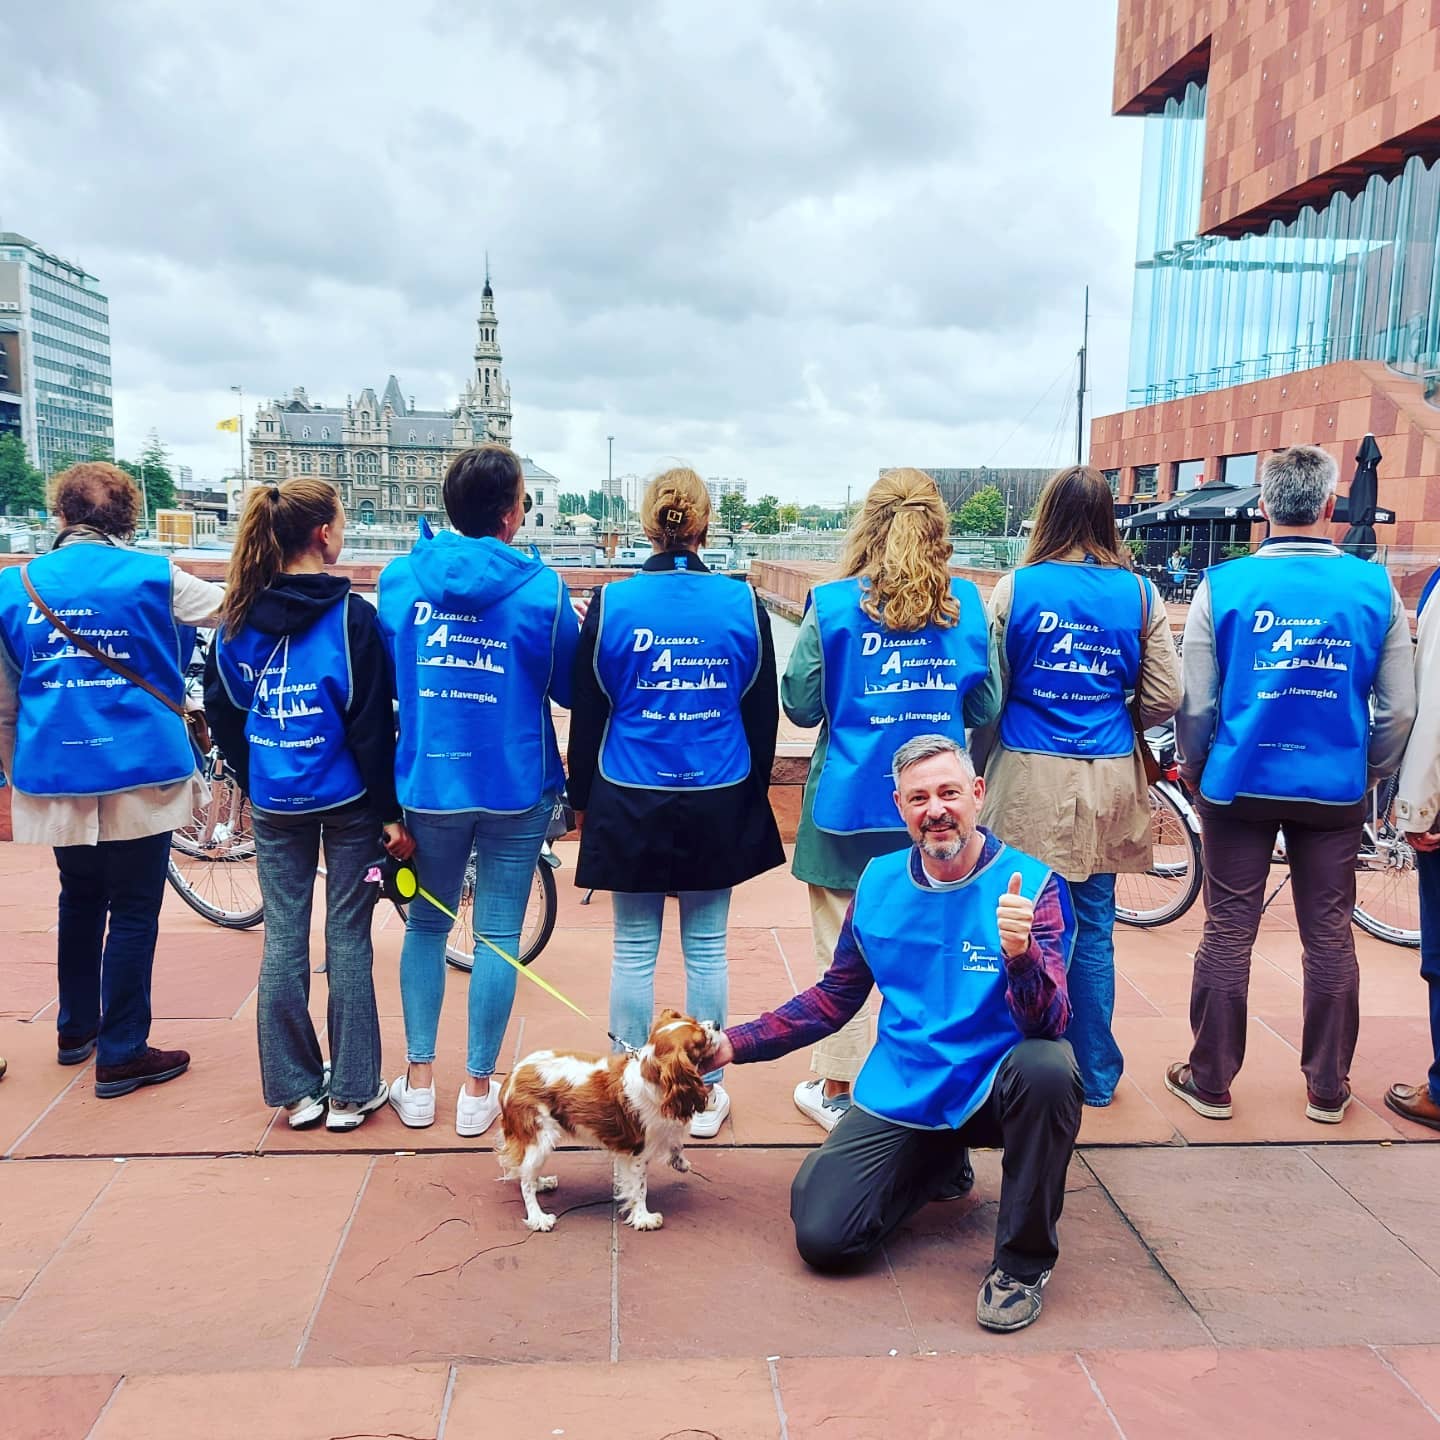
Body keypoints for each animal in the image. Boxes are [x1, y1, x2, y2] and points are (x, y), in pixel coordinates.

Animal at [498, 1008, 717, 1232]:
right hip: (540, 1138)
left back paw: (541, 1183)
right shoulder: (637, 1152)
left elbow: (675, 1143)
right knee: (526, 1181)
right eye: (700, 1041)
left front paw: (680, 1162)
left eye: (694, 1021)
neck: (654, 1079)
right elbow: (640, 1188)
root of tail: (512, 1075)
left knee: (525, 1171)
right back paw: (538, 1218)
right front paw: (643, 1218)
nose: (717, 1024)